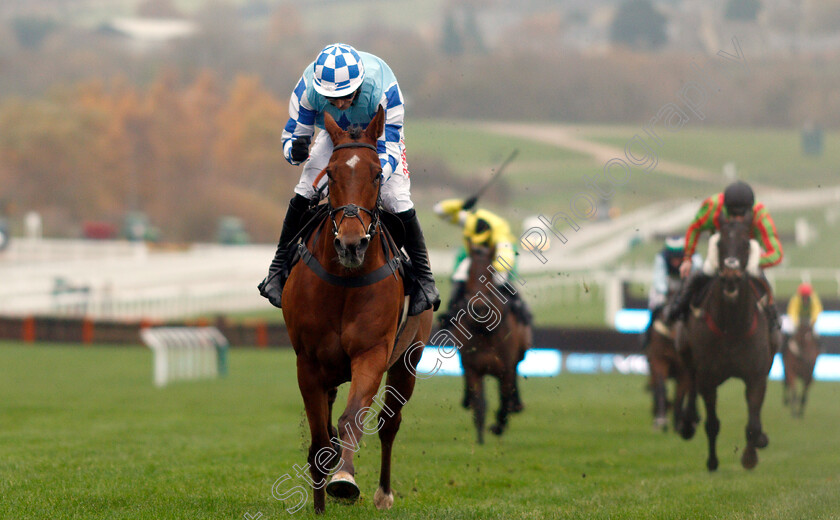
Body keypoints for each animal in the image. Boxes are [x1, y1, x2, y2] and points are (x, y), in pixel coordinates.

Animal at [282, 107, 434, 512]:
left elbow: (352, 419)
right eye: (332, 174)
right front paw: (320, 501)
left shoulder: (373, 352)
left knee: (389, 422)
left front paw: (345, 480)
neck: (344, 282)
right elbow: (320, 438)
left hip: (409, 359)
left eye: (378, 174)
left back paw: (383, 493)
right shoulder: (308, 361)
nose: (351, 244)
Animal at [446, 244, 532, 442]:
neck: (484, 330)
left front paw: (498, 427)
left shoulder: (506, 369)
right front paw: (480, 438)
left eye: (491, 271)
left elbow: (505, 400)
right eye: (469, 271)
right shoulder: (473, 368)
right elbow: (480, 404)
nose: (479, 307)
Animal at [676, 215, 776, 472]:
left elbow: (753, 424)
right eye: (720, 244)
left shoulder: (756, 376)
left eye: (745, 244)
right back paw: (687, 421)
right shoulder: (708, 378)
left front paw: (751, 455)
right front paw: (712, 461)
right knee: (689, 380)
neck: (732, 328)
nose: (731, 276)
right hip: (687, 354)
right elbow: (712, 423)